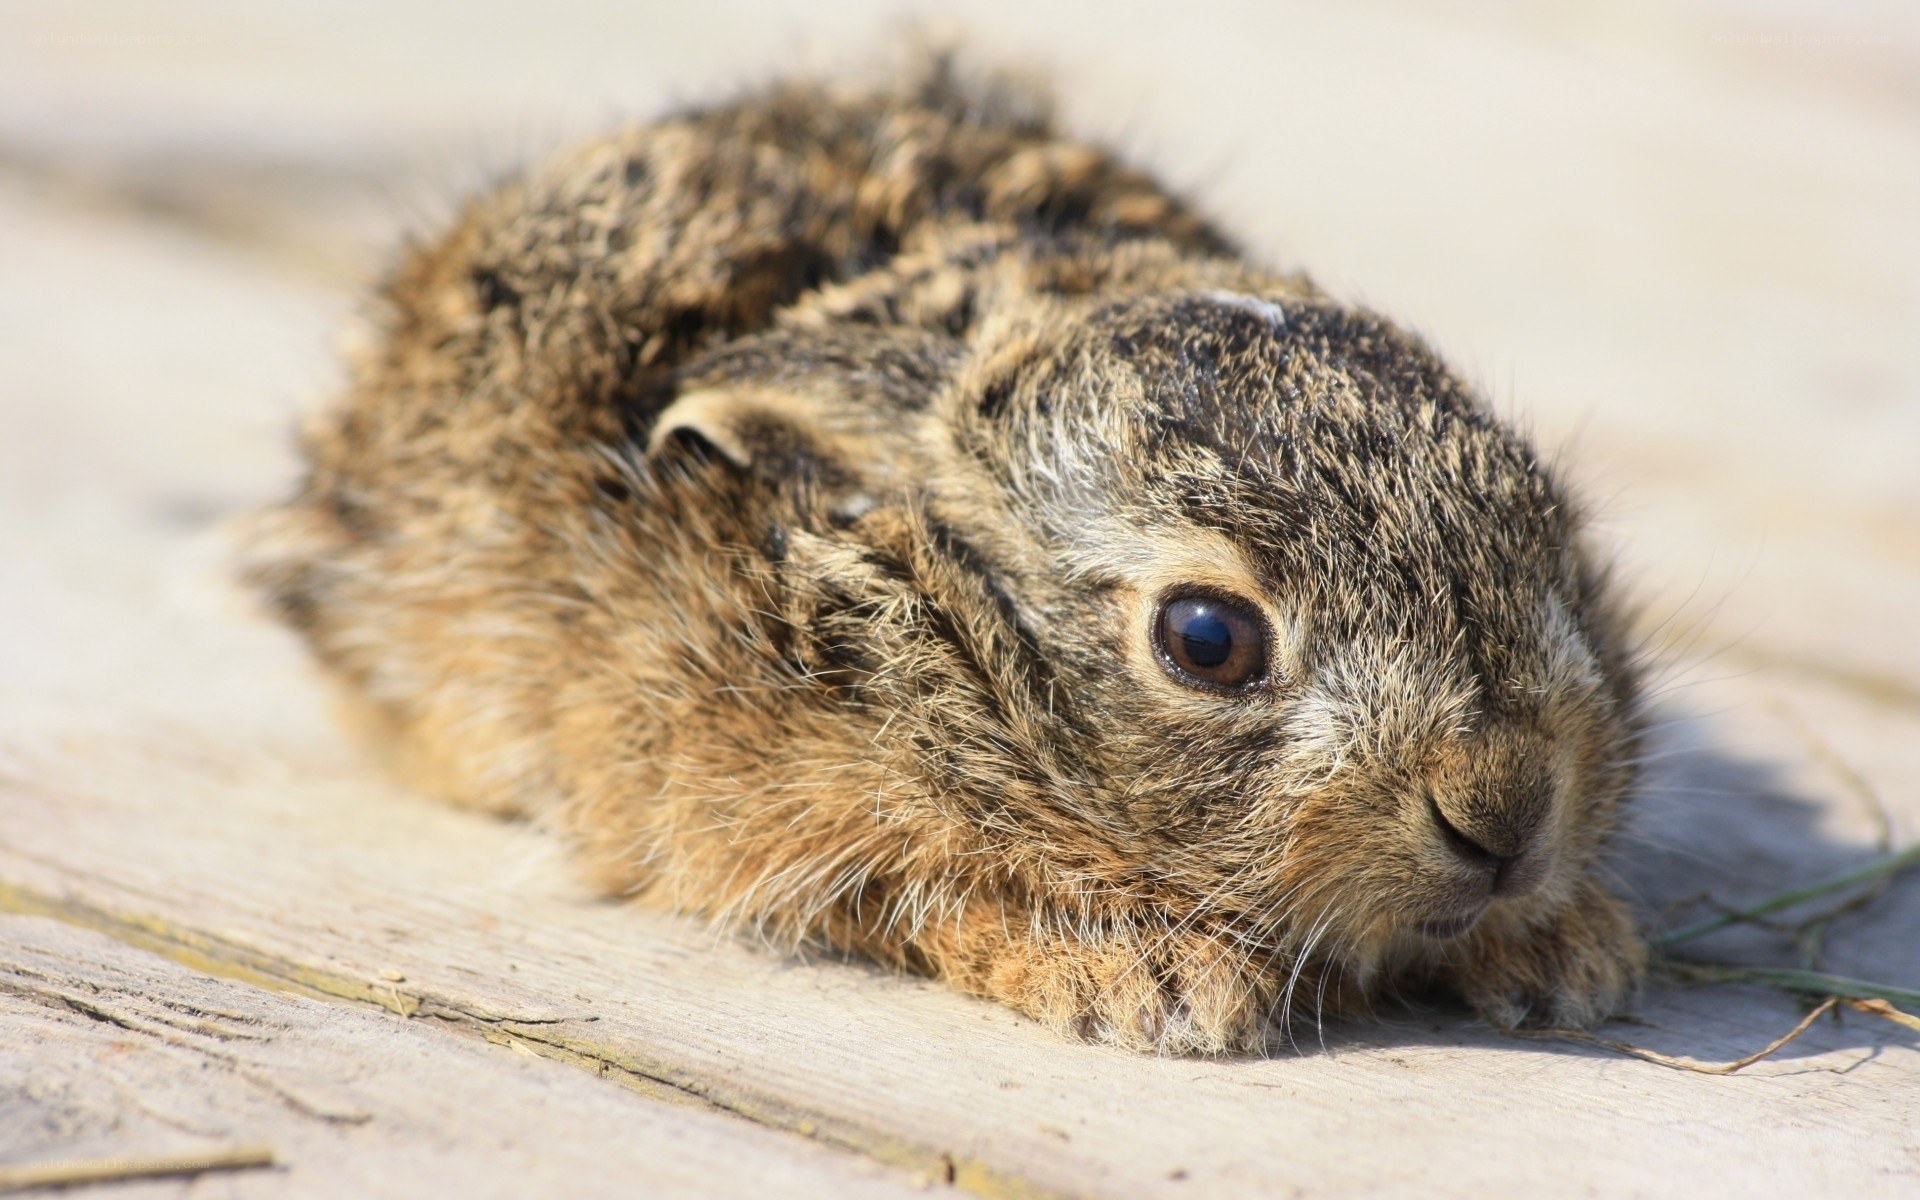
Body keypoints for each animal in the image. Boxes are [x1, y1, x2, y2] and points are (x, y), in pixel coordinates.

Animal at [246, 56, 1647, 1055]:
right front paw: (1156, 979)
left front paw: (1567, 952)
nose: (1504, 811)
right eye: (1207, 640)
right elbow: (921, 893)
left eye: (1538, 516)